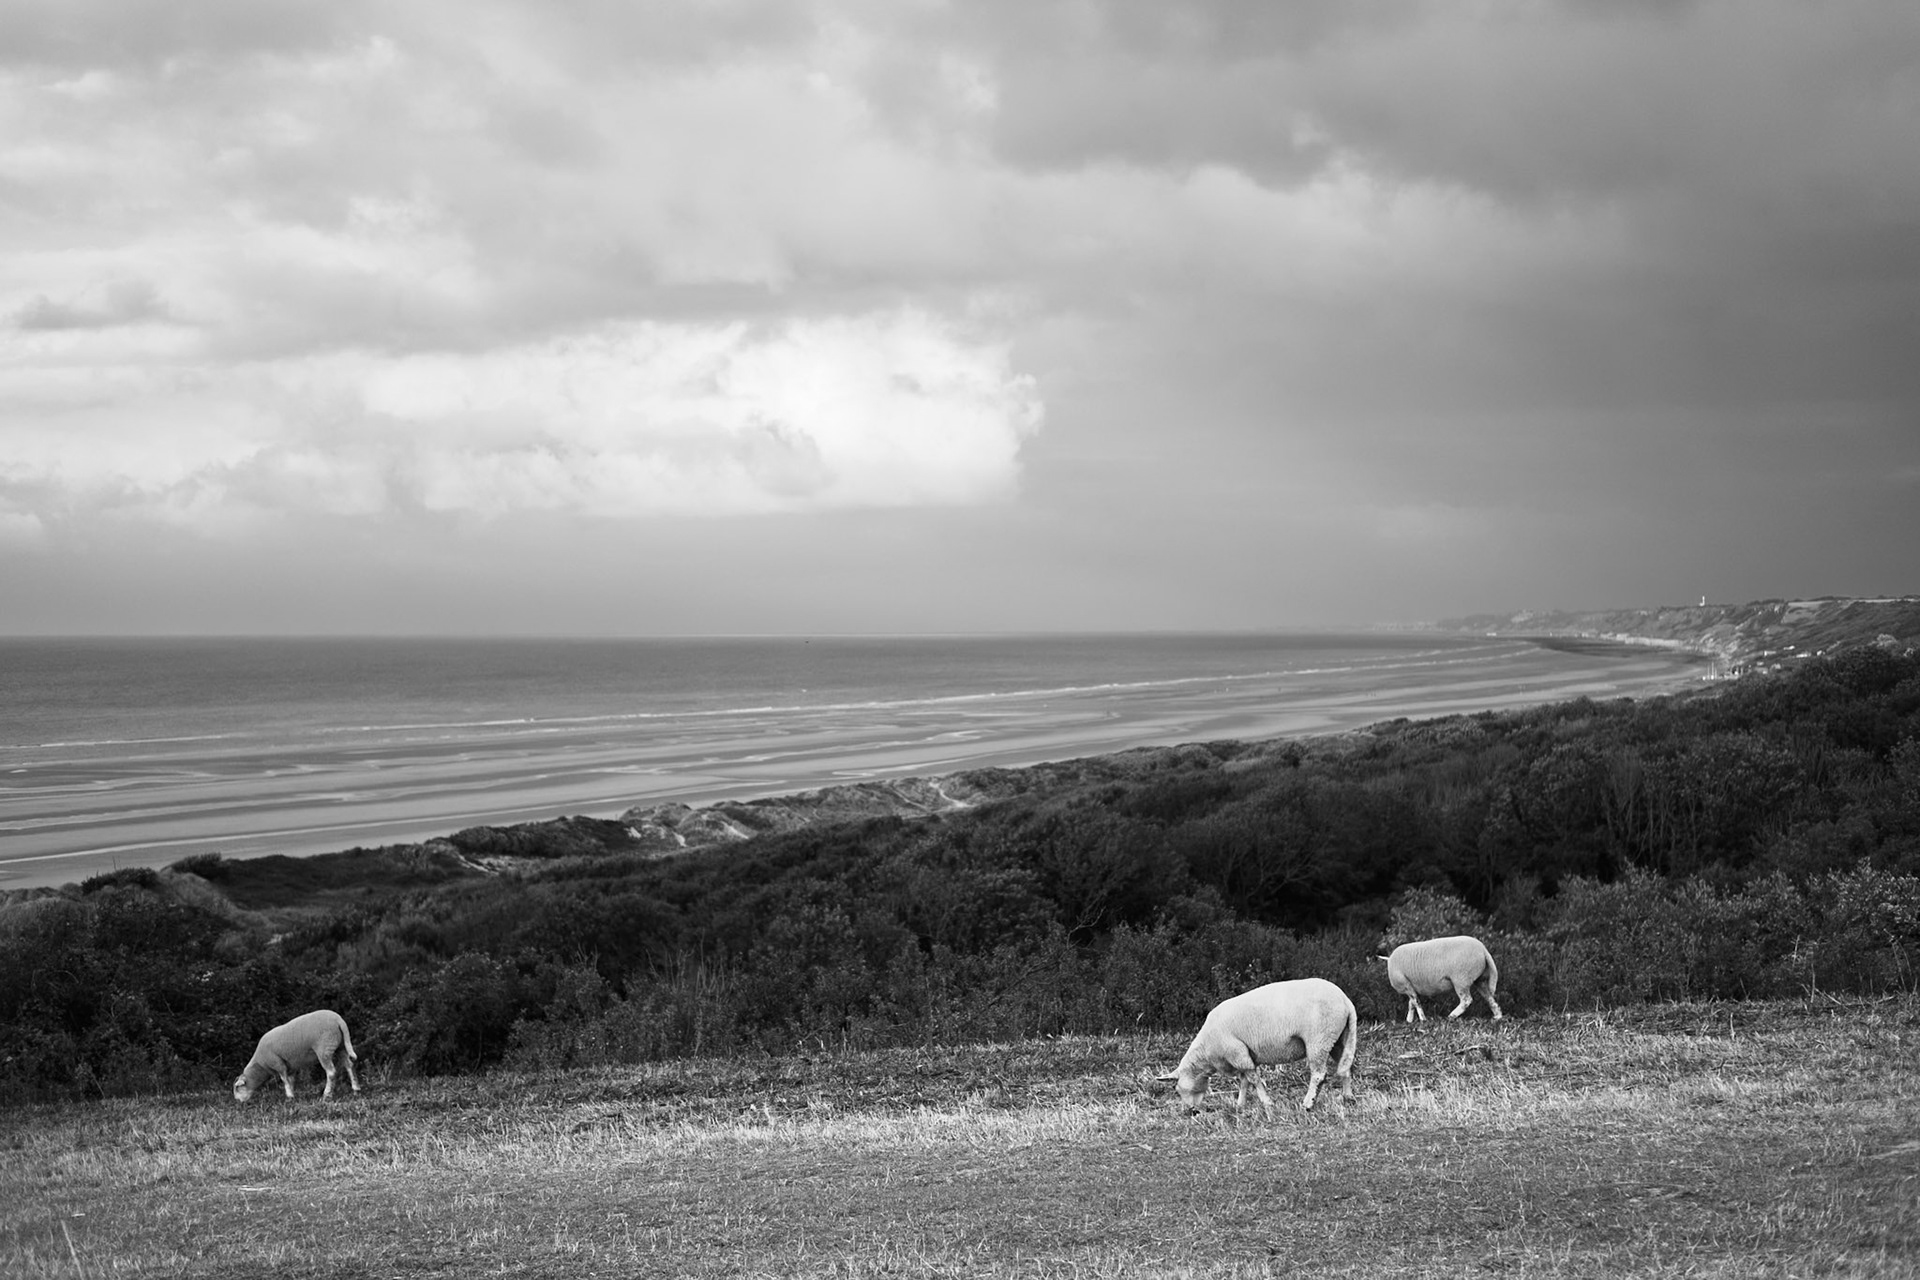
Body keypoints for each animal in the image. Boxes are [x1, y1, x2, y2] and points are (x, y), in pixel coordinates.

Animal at [1156, 977, 1358, 1115]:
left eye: (1178, 1090)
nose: (1192, 1112)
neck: (1206, 1053)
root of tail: (1345, 1000)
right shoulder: (1242, 1056)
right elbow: (1244, 1081)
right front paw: (1240, 1105)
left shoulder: (1237, 1054)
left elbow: (1253, 1079)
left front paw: (1268, 1104)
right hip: (1338, 1038)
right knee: (1345, 1067)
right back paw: (1348, 1098)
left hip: (1318, 1040)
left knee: (1319, 1074)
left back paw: (1308, 1104)